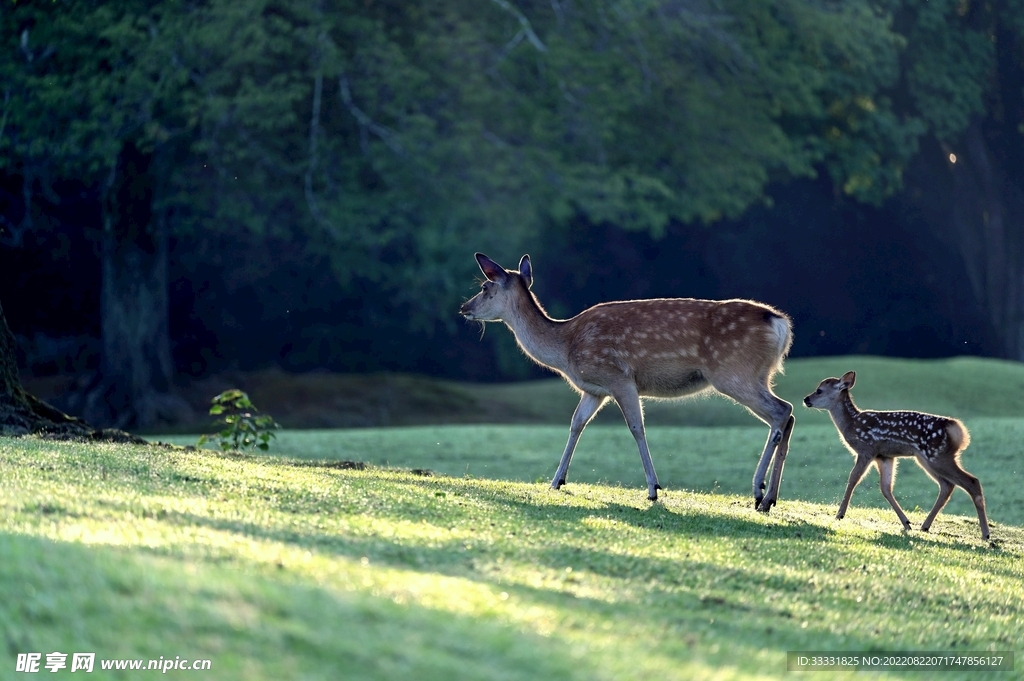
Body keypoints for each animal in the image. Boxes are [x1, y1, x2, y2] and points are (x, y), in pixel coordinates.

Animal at [460, 253, 795, 510]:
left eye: (485, 287)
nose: (464, 308)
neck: (566, 347)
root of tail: (780, 325)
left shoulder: (619, 377)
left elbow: (636, 427)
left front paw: (653, 489)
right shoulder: (594, 390)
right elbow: (576, 424)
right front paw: (556, 481)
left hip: (733, 372)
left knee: (781, 411)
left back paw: (759, 491)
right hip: (756, 375)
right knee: (787, 413)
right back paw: (770, 498)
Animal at [804, 371, 989, 539]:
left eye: (819, 390)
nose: (806, 399)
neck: (851, 424)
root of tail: (957, 429)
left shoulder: (867, 449)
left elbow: (853, 478)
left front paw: (839, 514)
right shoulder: (884, 456)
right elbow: (886, 488)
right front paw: (906, 523)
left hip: (937, 455)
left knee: (971, 481)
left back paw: (985, 534)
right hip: (927, 458)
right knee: (947, 485)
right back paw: (925, 526)